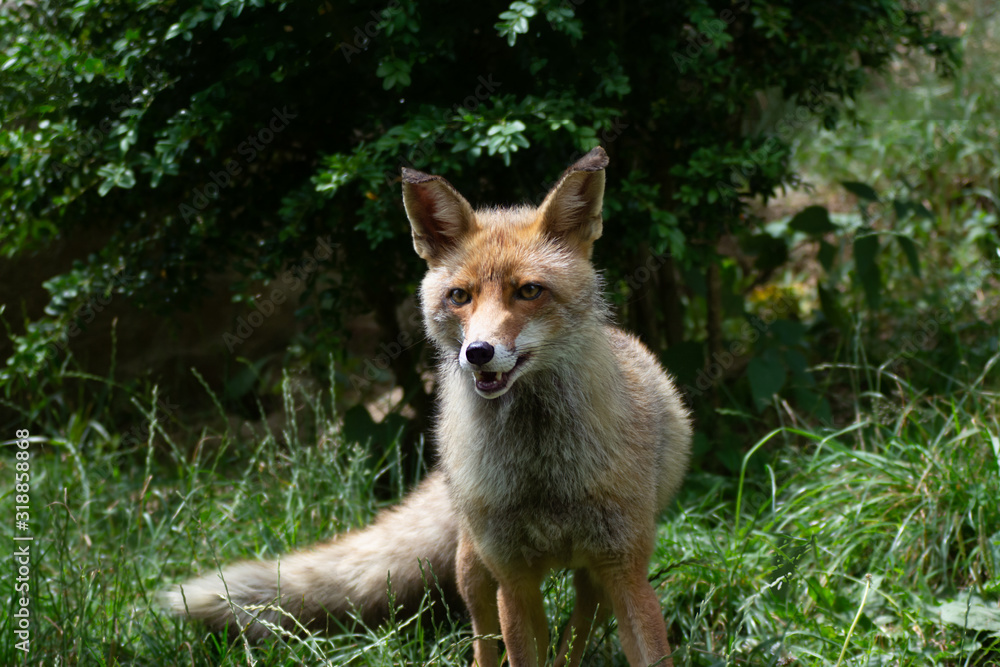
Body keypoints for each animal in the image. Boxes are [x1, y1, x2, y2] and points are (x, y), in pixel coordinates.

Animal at [164, 146, 692, 667]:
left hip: (591, 577)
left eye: (529, 291)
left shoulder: (625, 568)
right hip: (475, 567)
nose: (477, 352)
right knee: (485, 643)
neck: (543, 474)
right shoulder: (514, 578)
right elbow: (516, 648)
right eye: (460, 296)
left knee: (576, 626)